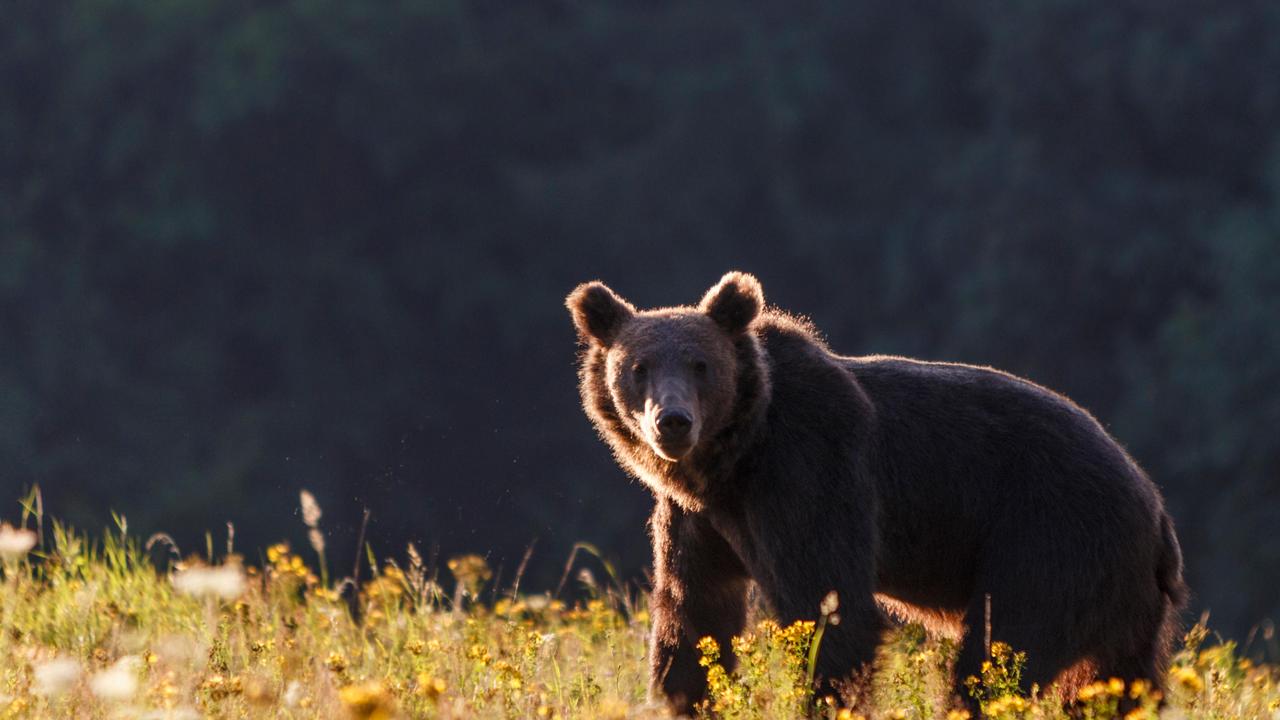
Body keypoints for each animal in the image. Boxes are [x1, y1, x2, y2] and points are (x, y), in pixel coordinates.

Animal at [565, 269, 1182, 712]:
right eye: (638, 367)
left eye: (700, 365)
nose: (673, 422)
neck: (734, 460)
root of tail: (1155, 509)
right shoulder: (699, 518)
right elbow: (693, 615)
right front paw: (680, 693)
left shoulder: (809, 470)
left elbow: (830, 606)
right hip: (1121, 602)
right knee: (1118, 683)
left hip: (1049, 540)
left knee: (1001, 650)